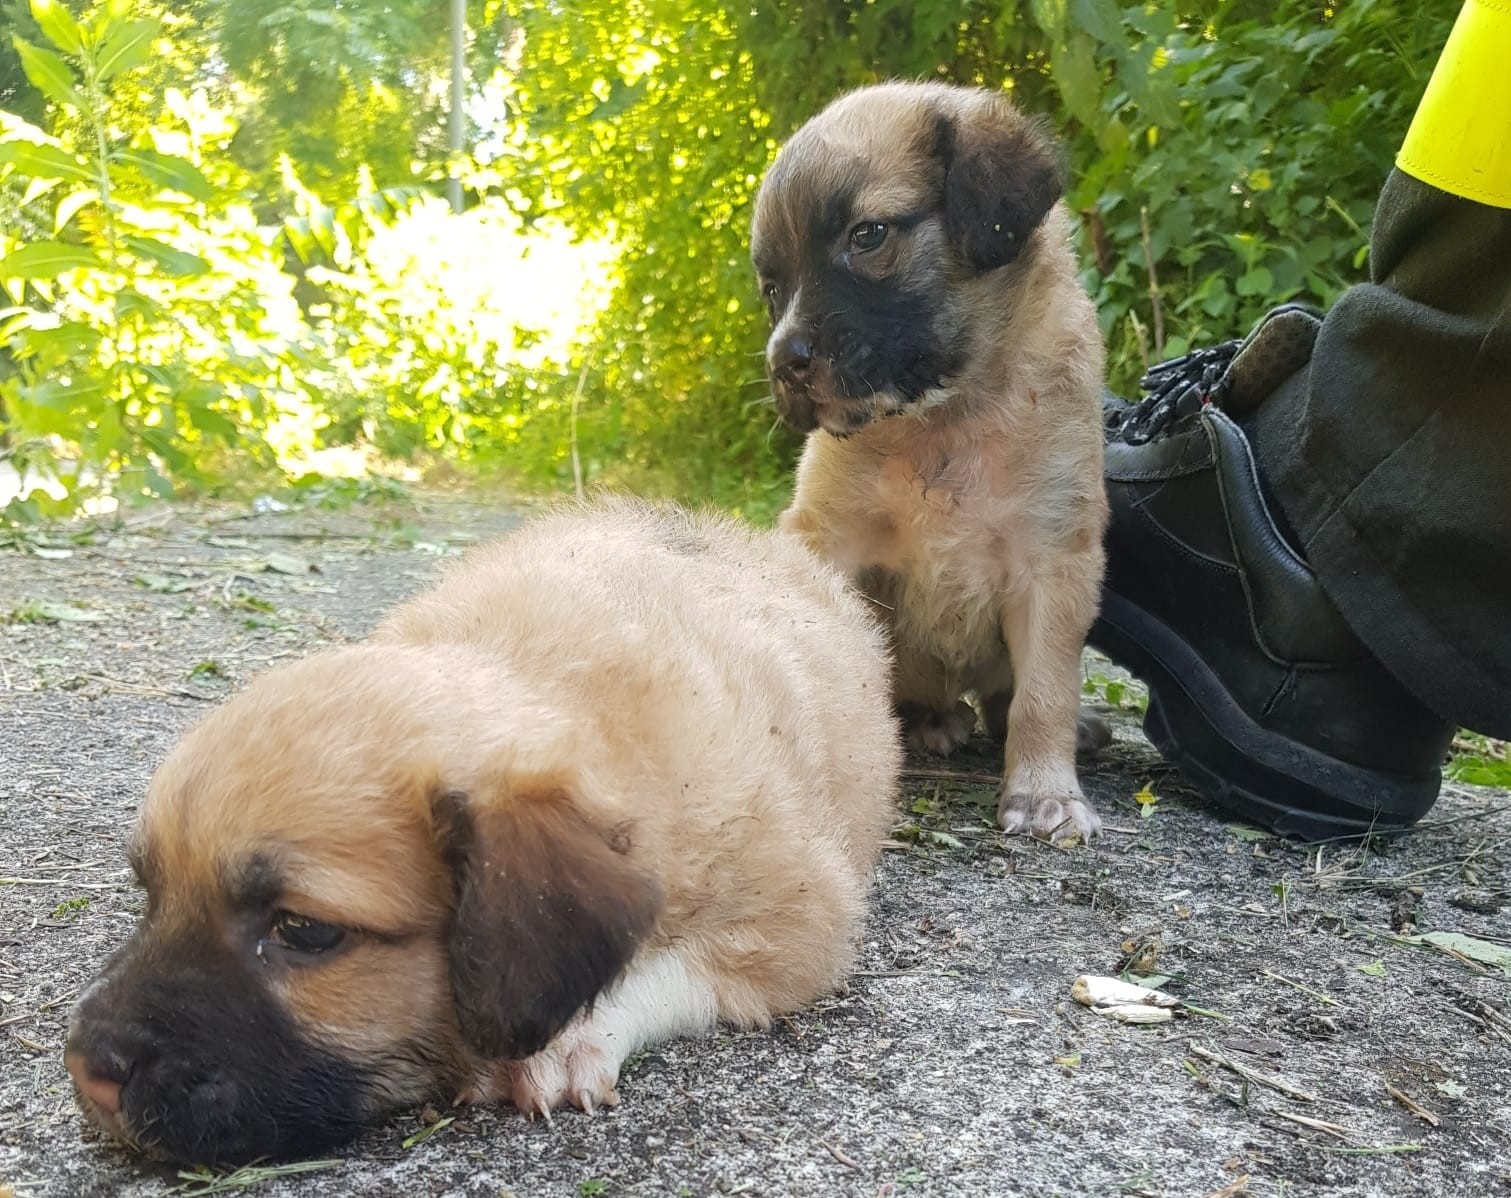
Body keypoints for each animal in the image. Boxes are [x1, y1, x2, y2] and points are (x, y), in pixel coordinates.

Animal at [64, 501, 894, 1166]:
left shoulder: (798, 920)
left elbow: (667, 965)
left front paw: (573, 1038)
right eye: (152, 894)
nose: (85, 1070)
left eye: (302, 930)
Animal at [755, 81, 1112, 839]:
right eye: (771, 286)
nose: (783, 364)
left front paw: (1045, 789)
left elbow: (1045, 690)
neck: (945, 416)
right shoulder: (832, 538)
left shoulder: (1051, 560)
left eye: (867, 236)